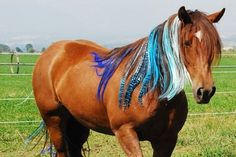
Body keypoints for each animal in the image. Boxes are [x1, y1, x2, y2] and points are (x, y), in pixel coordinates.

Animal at [31, 6, 225, 156]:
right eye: (186, 42)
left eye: (213, 45)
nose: (205, 91)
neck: (151, 91)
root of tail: (52, 52)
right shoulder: (125, 133)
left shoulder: (167, 139)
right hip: (54, 119)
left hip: (78, 122)